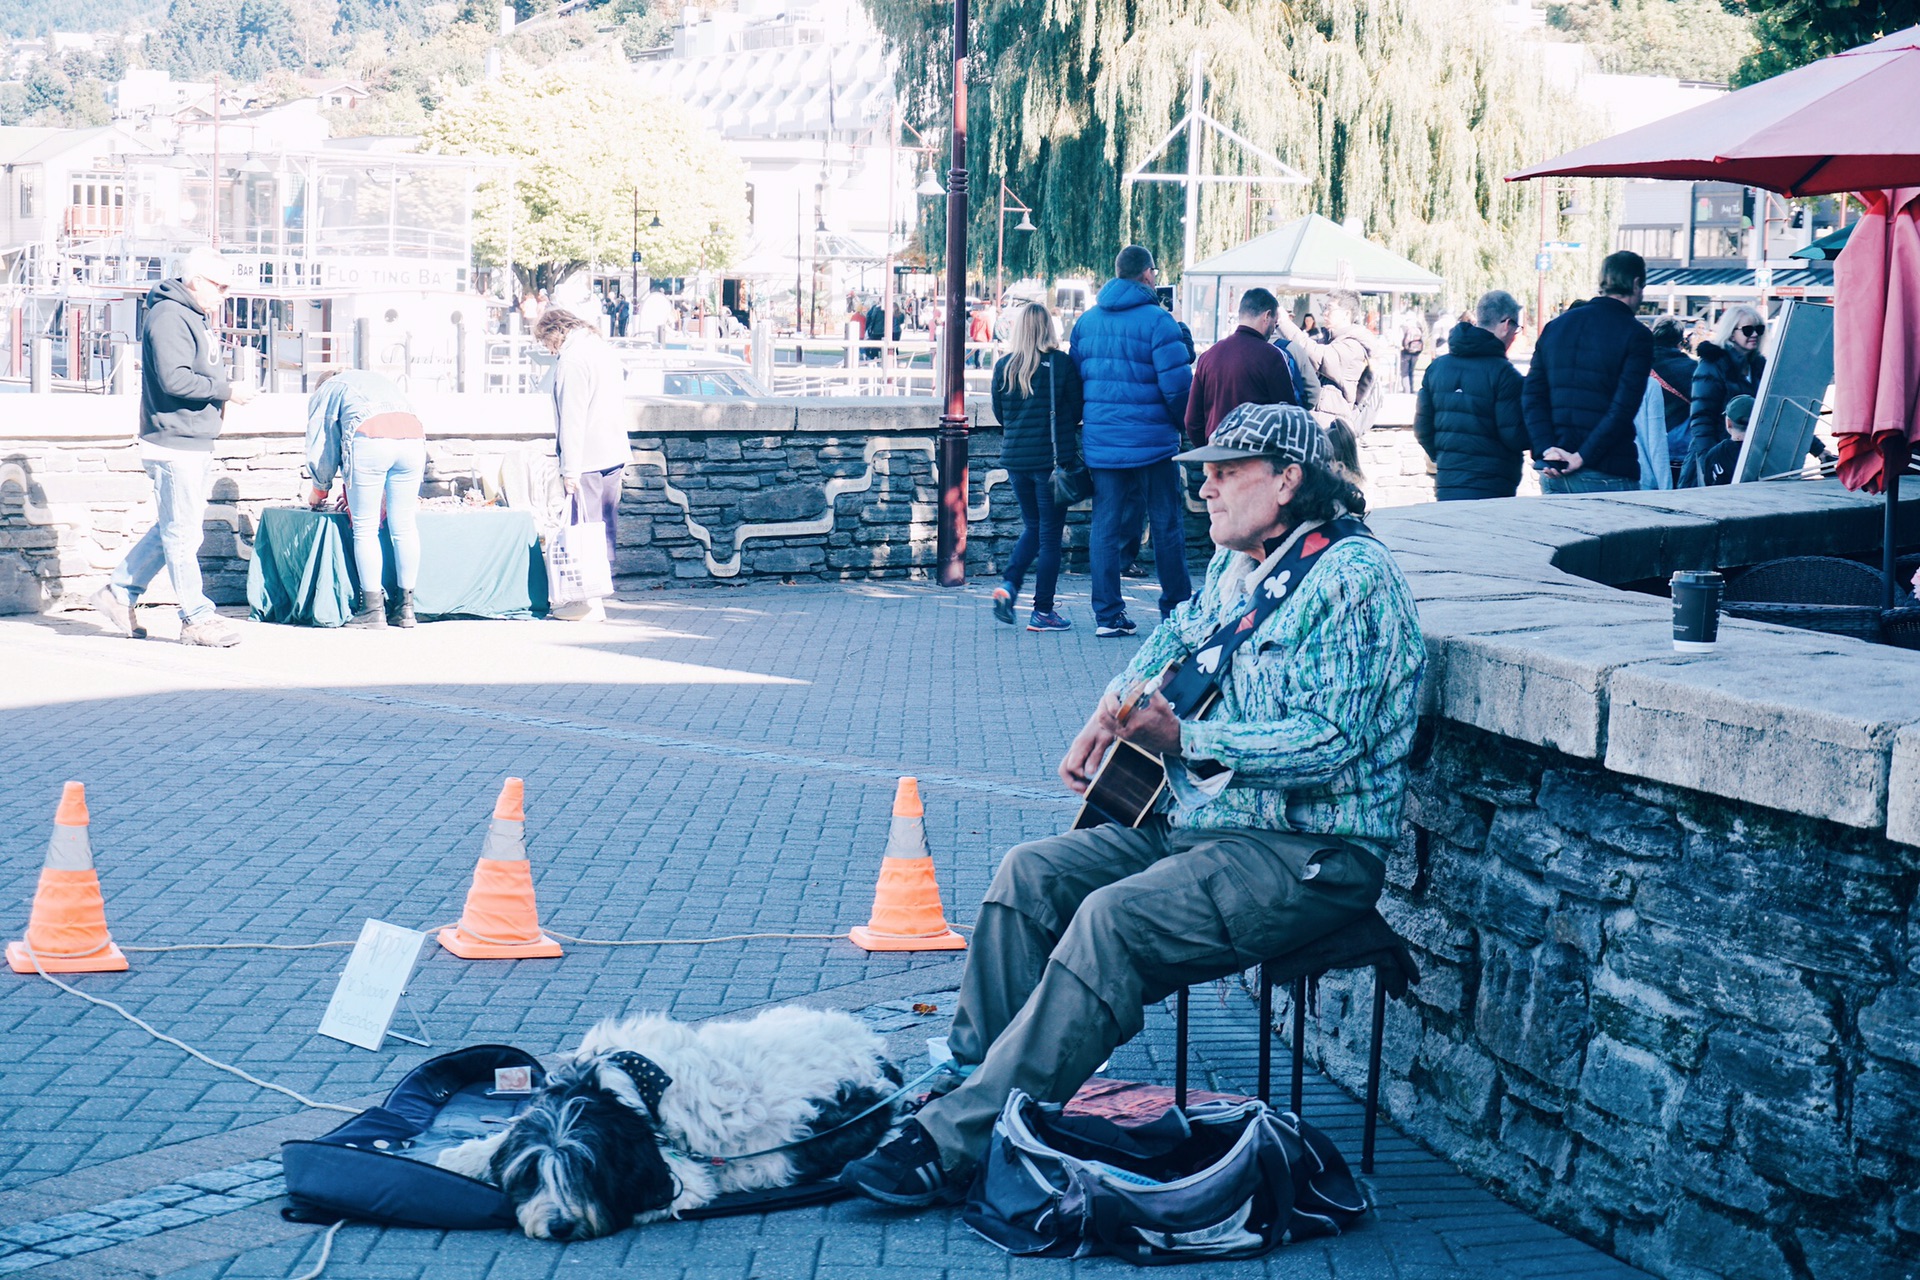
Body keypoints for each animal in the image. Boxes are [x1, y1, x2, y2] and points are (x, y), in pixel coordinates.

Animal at [439, 1013, 902, 1243]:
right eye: (534, 1176)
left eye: (586, 1174)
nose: (559, 1227)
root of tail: (879, 1056)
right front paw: (461, 1157)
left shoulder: (683, 1178)